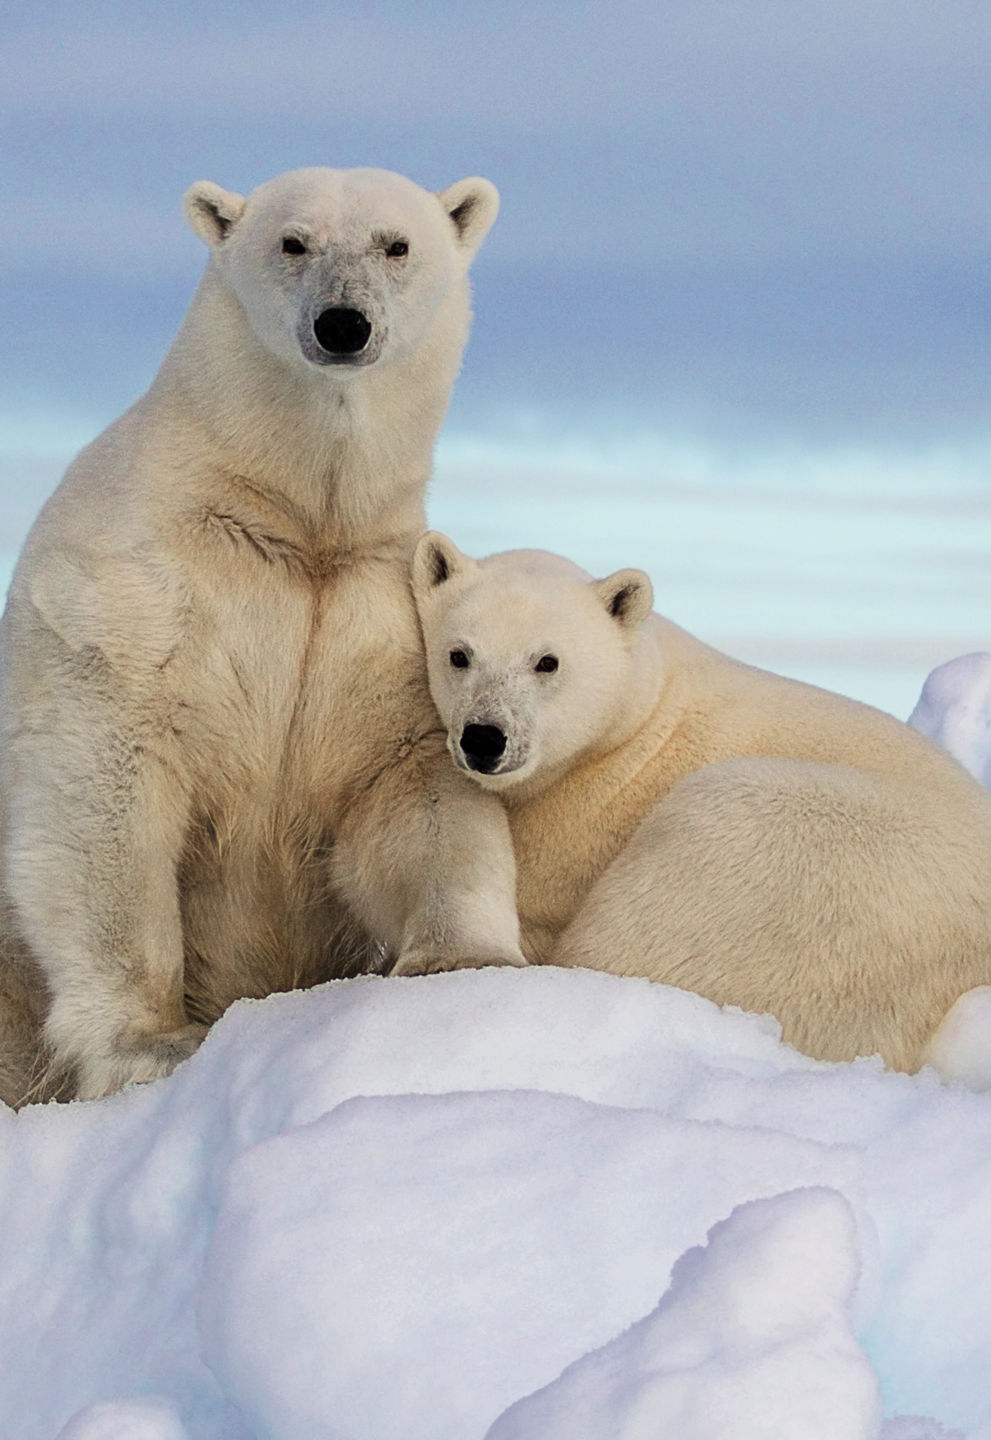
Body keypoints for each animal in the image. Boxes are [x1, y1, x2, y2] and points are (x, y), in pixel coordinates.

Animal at [0, 167, 525, 1106]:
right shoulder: (134, 592)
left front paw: (460, 963)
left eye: (396, 244)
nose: (342, 323)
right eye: (292, 241)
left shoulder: (380, 619)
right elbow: (104, 792)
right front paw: (153, 1043)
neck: (291, 520)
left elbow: (413, 790)